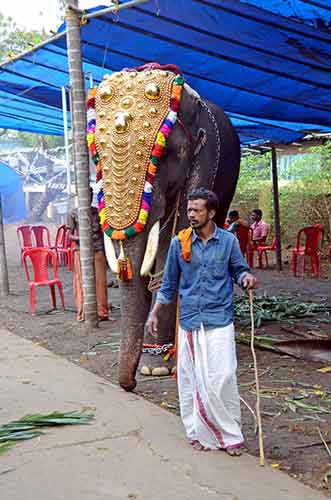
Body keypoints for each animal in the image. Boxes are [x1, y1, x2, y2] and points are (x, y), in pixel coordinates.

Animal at [87, 61, 240, 390]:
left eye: (167, 154)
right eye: (96, 157)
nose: (129, 384)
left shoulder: (206, 156)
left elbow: (176, 240)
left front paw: (155, 367)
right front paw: (152, 363)